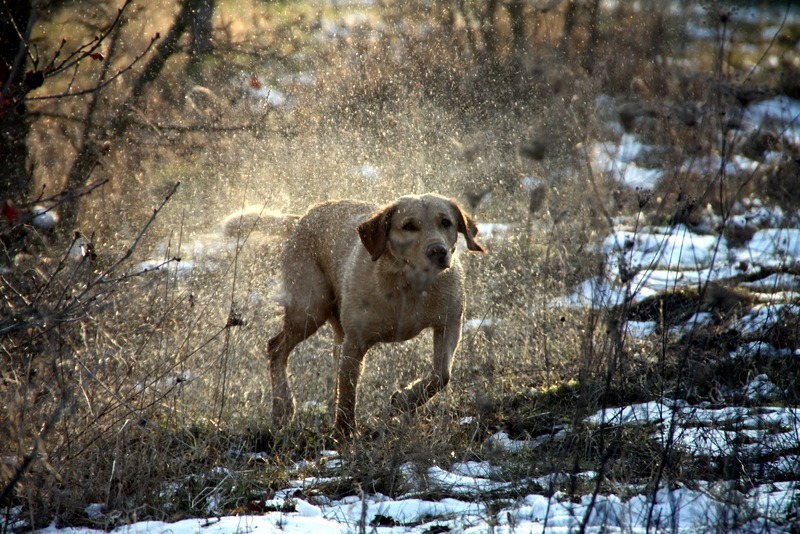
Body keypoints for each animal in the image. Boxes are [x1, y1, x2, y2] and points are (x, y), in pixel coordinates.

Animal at [268, 194, 488, 440]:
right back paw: (283, 408)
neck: (408, 286)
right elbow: (347, 394)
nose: (438, 251)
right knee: (276, 348)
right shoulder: (355, 342)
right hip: (310, 309)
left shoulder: (449, 323)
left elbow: (441, 375)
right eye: (409, 226)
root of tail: (303, 217)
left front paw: (403, 401)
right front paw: (344, 434)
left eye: (446, 222)